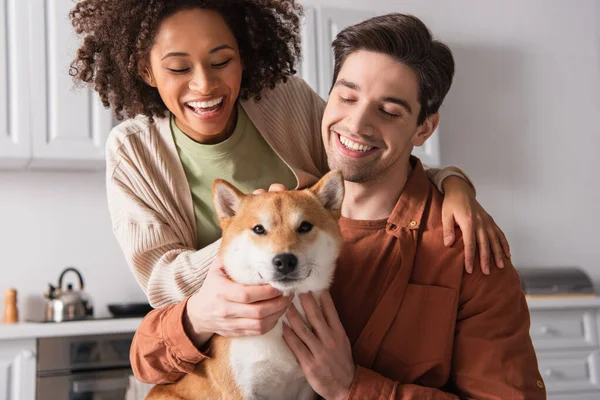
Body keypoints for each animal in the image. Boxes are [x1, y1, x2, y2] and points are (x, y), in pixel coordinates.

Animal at [148, 170, 344, 398]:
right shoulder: (240, 391)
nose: (285, 261)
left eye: (305, 226)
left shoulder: (305, 387)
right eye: (259, 229)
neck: (283, 320)